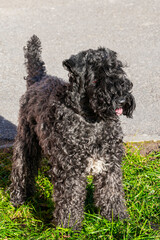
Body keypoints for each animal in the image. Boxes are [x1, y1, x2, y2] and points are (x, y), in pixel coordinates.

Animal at [10, 35, 136, 229]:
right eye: (96, 78)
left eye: (118, 70)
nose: (121, 99)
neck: (92, 120)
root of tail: (38, 79)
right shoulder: (71, 172)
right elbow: (69, 200)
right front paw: (68, 227)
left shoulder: (110, 166)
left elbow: (112, 193)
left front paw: (118, 219)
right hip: (26, 142)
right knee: (21, 168)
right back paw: (19, 198)